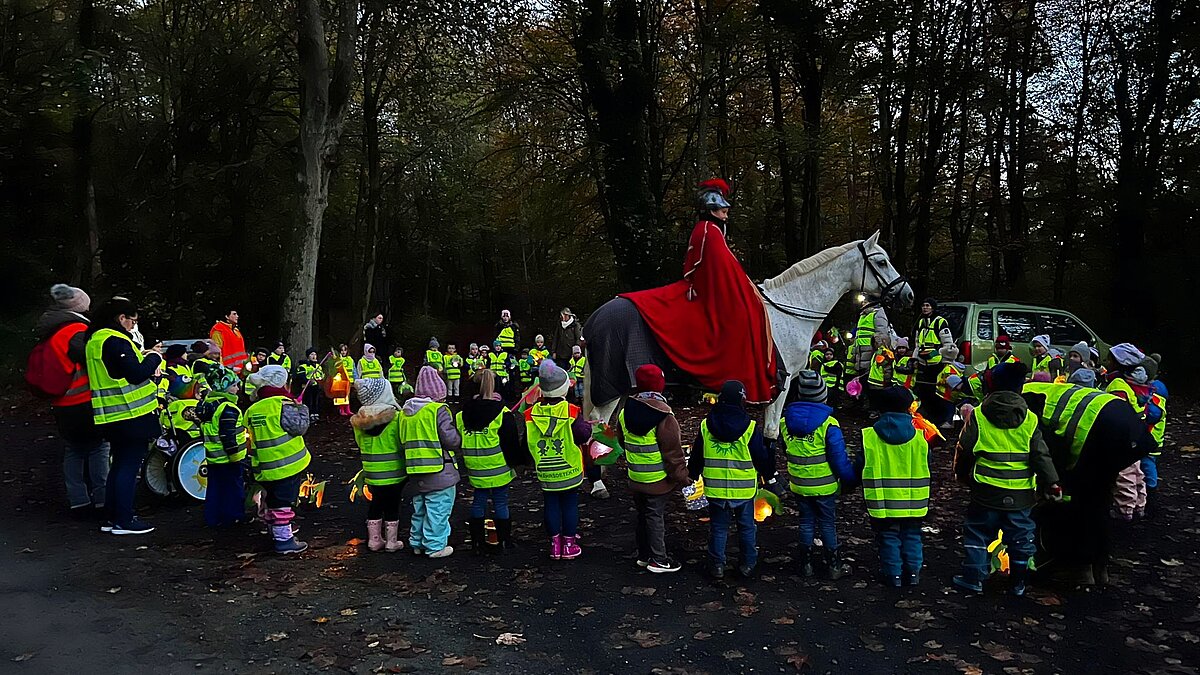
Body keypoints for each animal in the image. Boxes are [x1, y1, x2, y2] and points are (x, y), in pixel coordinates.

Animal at [580, 229, 907, 441]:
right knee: (596, 425)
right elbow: (771, 432)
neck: (791, 308)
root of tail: (596, 317)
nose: (907, 294)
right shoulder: (781, 384)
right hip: (611, 387)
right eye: (880, 262)